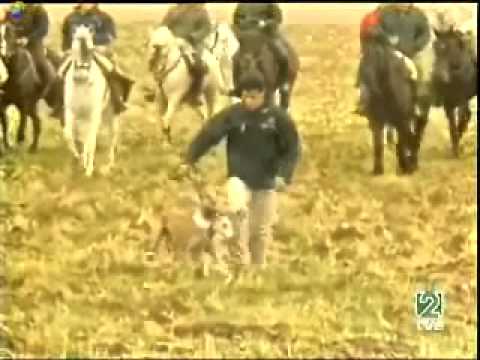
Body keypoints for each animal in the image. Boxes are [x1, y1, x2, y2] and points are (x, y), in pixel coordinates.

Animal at [62, 25, 119, 177]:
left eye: (90, 48)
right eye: (75, 39)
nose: (81, 75)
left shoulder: (94, 115)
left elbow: (90, 141)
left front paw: (89, 170)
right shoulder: (71, 112)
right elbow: (69, 135)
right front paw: (78, 158)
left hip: (111, 117)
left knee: (111, 139)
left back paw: (109, 165)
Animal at [432, 27, 476, 157]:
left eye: (449, 48)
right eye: (435, 47)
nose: (437, 77)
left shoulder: (462, 100)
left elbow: (462, 118)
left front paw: (458, 148)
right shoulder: (448, 103)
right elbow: (452, 125)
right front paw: (455, 147)